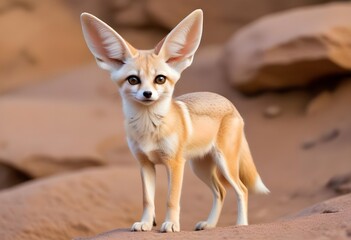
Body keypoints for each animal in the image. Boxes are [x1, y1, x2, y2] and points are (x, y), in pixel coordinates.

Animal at [82, 9, 270, 232]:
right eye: (133, 80)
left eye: (160, 79)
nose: (147, 94)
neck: (149, 129)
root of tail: (228, 102)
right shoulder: (145, 163)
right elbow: (148, 200)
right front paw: (146, 223)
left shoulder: (175, 163)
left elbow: (171, 199)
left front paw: (171, 224)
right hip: (200, 168)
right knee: (221, 191)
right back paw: (210, 224)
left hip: (224, 162)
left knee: (241, 189)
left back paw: (241, 225)